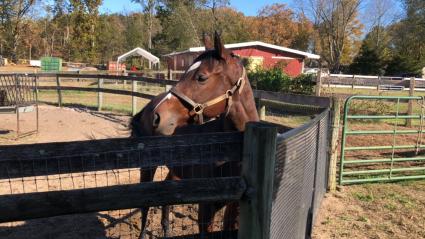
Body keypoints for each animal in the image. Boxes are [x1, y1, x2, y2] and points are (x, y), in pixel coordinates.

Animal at [132, 32, 258, 237]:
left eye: (201, 77)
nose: (158, 117)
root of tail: (148, 106)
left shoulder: (234, 206)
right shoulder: (206, 208)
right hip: (148, 166)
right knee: (144, 206)